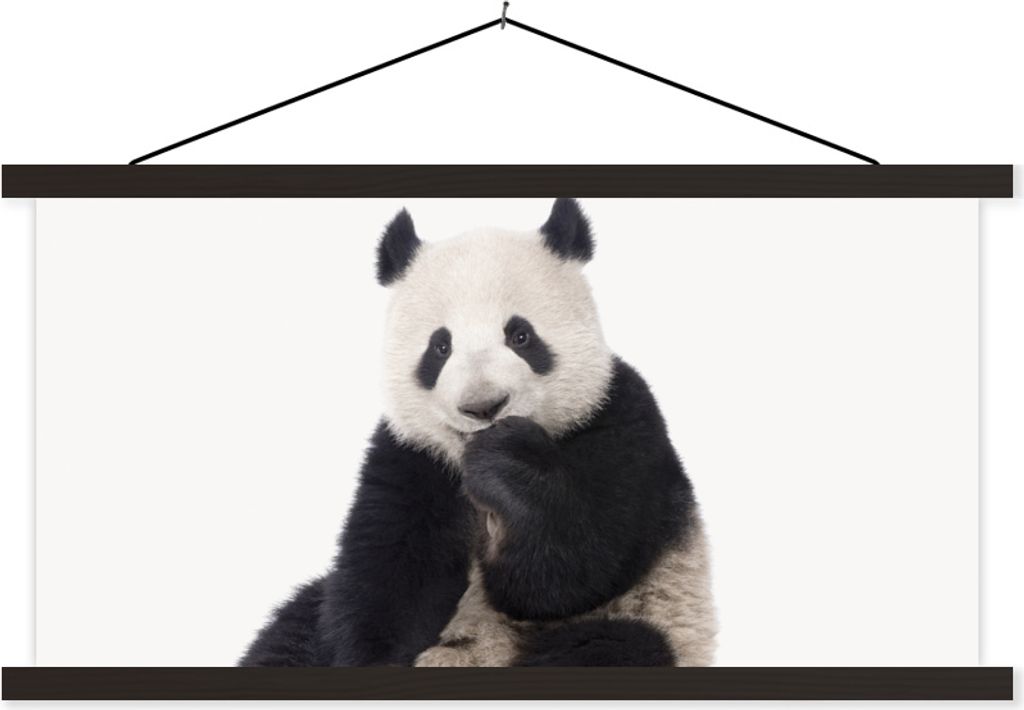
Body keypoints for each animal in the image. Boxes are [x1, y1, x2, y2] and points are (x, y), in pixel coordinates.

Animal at [240, 198, 716, 667]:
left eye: (521, 336)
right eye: (440, 347)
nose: (484, 407)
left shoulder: (619, 419)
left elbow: (570, 570)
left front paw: (507, 462)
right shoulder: (412, 456)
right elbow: (389, 572)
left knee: (613, 647)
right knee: (292, 631)